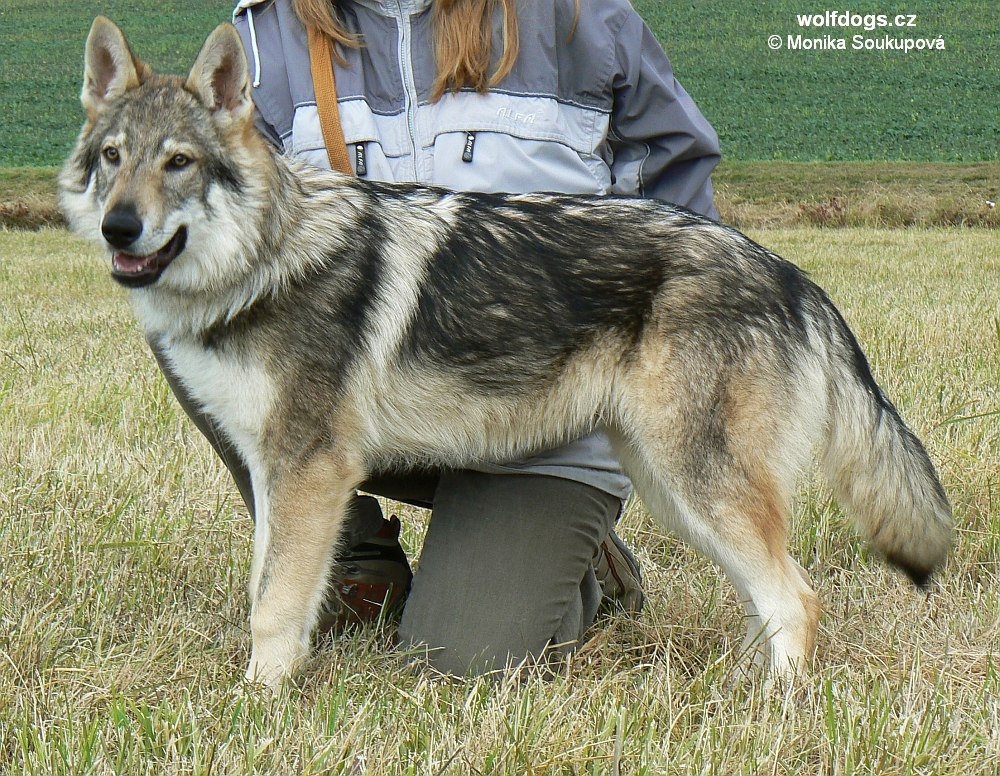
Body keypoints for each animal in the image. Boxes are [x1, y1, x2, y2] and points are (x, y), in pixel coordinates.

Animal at [58, 16, 948, 684]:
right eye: (112, 160)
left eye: (179, 163)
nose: (119, 228)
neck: (265, 260)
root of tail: (790, 272)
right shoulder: (278, 472)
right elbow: (266, 586)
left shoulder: (308, 470)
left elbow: (274, 605)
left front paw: (258, 701)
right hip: (677, 493)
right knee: (772, 596)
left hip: (700, 485)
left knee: (798, 597)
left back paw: (772, 711)